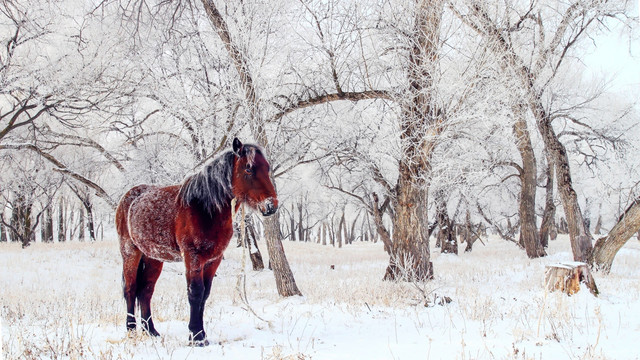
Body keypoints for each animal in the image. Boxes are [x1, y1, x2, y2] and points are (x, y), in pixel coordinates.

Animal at [115, 138, 278, 346]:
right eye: (249, 168)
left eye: (267, 167)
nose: (271, 205)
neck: (204, 209)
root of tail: (129, 196)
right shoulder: (192, 257)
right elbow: (195, 293)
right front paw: (196, 336)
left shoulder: (213, 260)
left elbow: (204, 294)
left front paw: (202, 335)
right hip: (130, 252)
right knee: (130, 288)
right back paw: (131, 330)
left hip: (153, 258)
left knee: (145, 291)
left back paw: (151, 331)